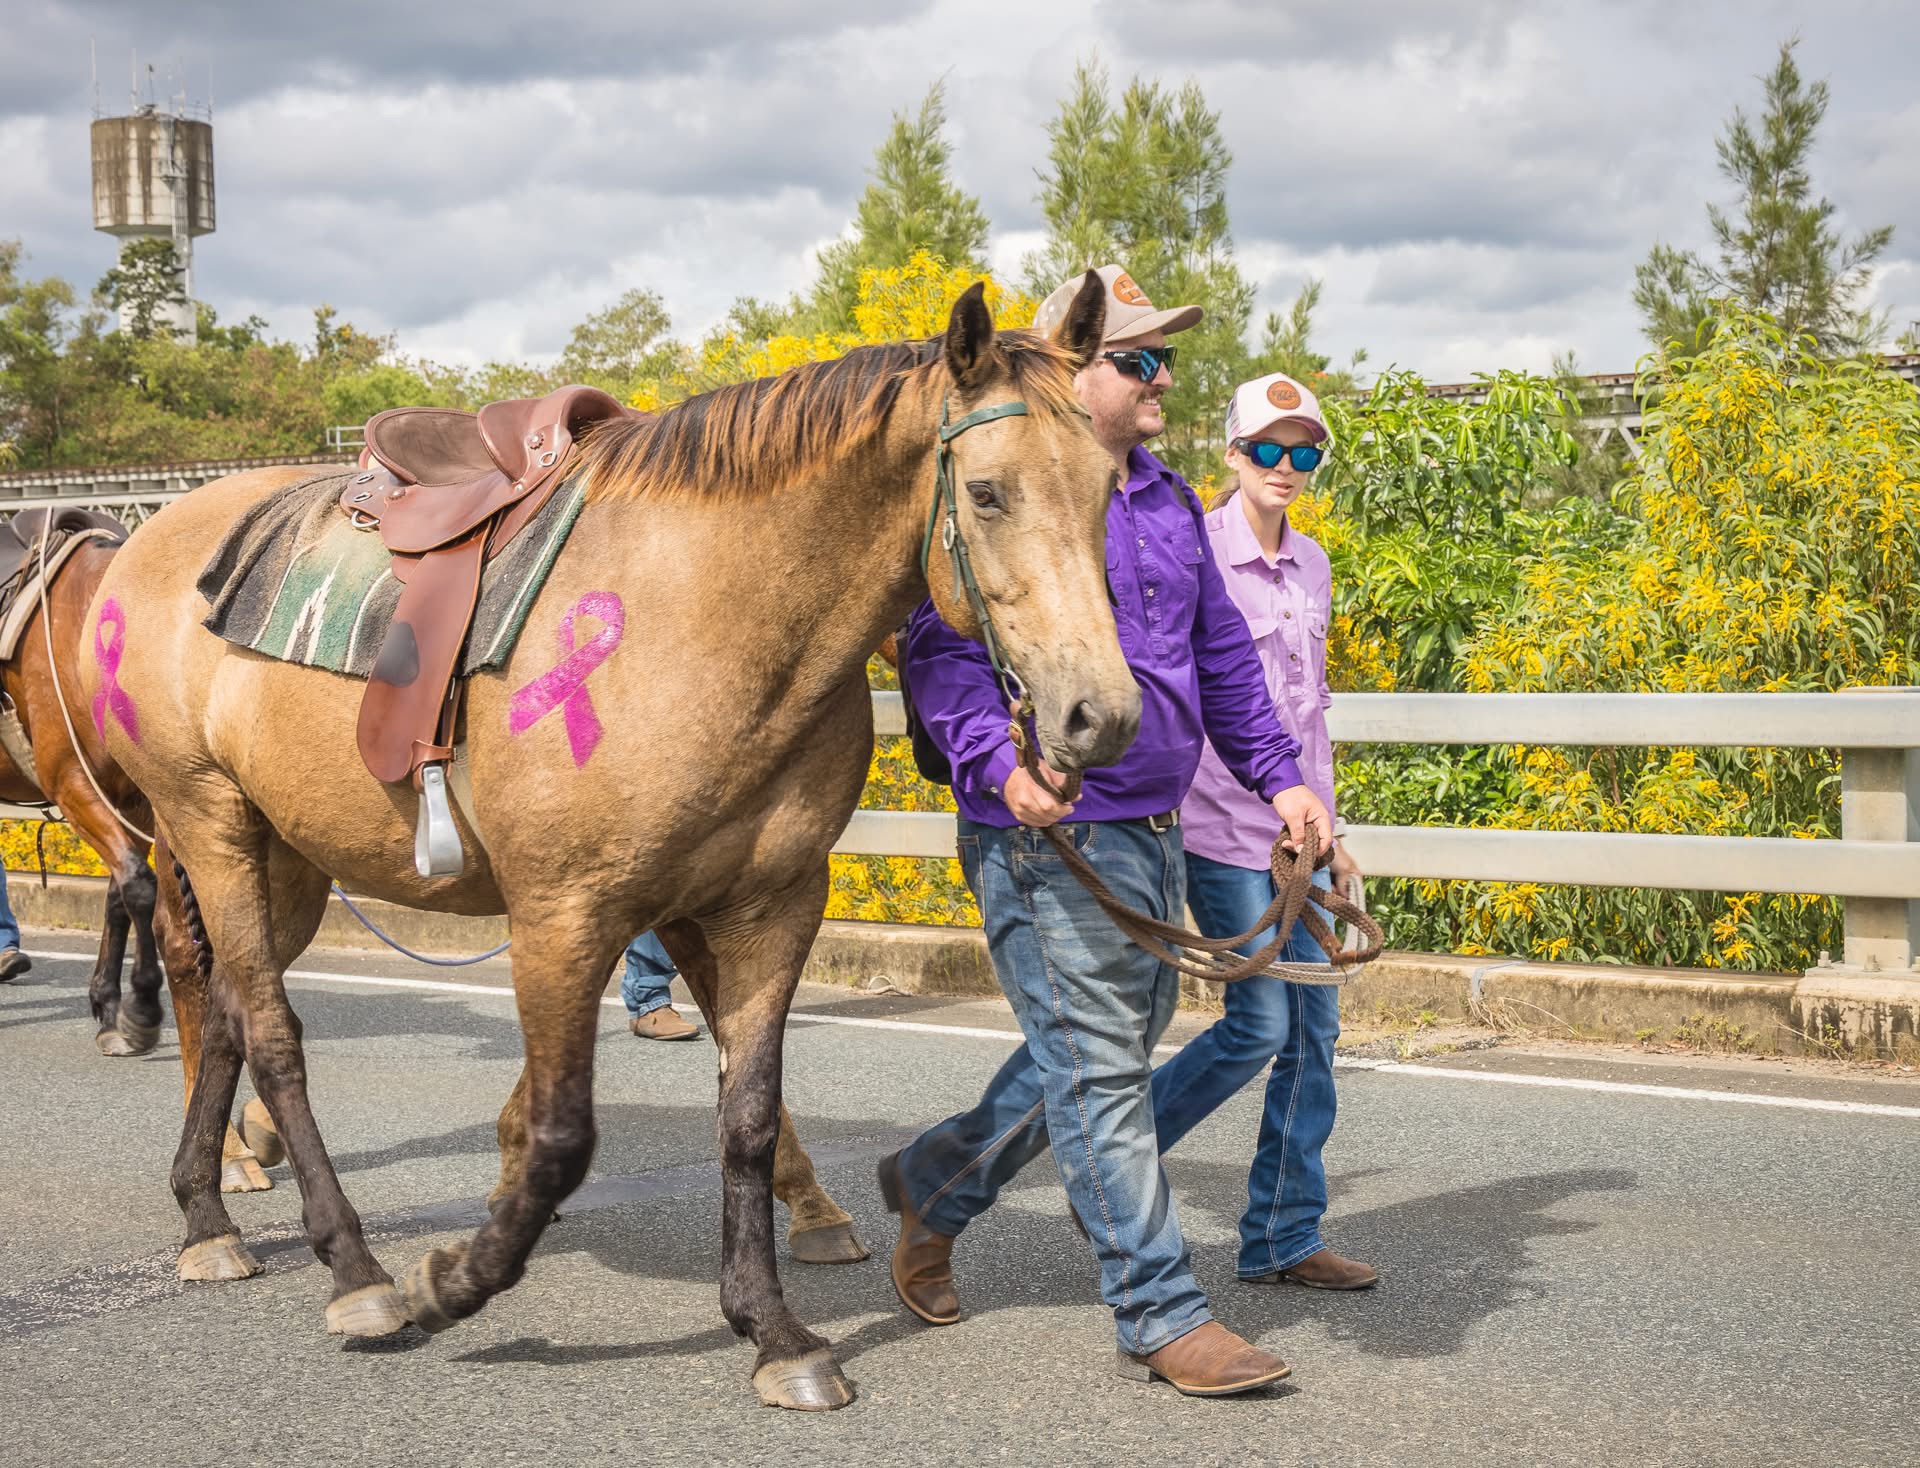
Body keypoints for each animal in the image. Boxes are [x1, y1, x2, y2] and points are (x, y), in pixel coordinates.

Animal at [82, 278, 1137, 1410]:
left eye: (1108, 486)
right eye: (986, 493)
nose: (1100, 717)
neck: (709, 617)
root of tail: (153, 533)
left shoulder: (771, 904)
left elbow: (746, 1113)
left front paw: (772, 1328)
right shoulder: (565, 915)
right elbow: (558, 1134)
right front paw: (455, 1280)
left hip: (287, 856)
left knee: (230, 1006)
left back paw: (206, 1208)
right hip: (211, 822)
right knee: (271, 1029)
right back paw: (356, 1270)